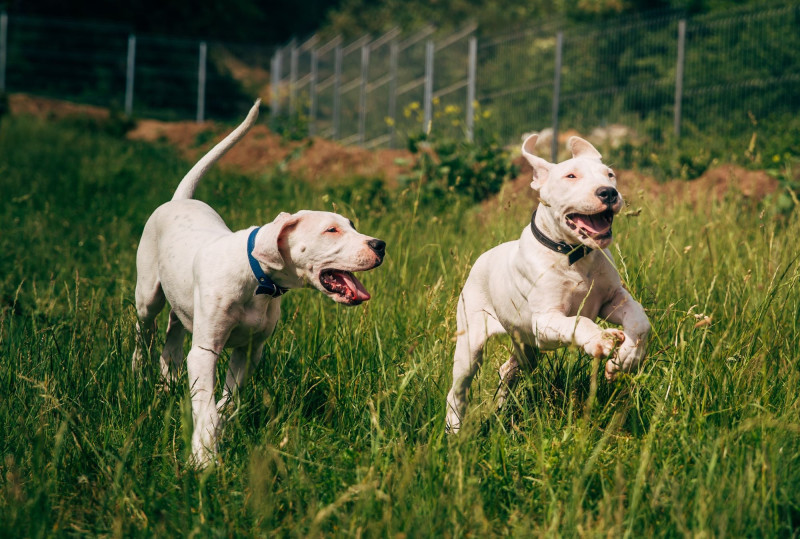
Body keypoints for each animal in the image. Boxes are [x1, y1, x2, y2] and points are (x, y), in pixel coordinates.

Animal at [133, 101, 386, 464]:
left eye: (352, 225)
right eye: (331, 230)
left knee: (174, 330)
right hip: (147, 296)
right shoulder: (206, 351)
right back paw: (140, 376)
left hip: (181, 304)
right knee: (145, 331)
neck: (256, 280)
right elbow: (207, 405)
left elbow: (227, 402)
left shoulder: (250, 351)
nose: (380, 245)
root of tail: (179, 200)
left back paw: (168, 380)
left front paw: (218, 429)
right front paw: (204, 457)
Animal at [444, 134, 648, 434]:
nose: (608, 193)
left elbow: (640, 320)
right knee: (458, 389)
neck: (574, 256)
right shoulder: (547, 319)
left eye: (610, 175)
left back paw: (502, 409)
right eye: (571, 176)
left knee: (508, 369)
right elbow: (579, 322)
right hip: (472, 344)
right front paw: (601, 339)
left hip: (528, 347)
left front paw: (626, 359)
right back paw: (455, 429)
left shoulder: (613, 299)